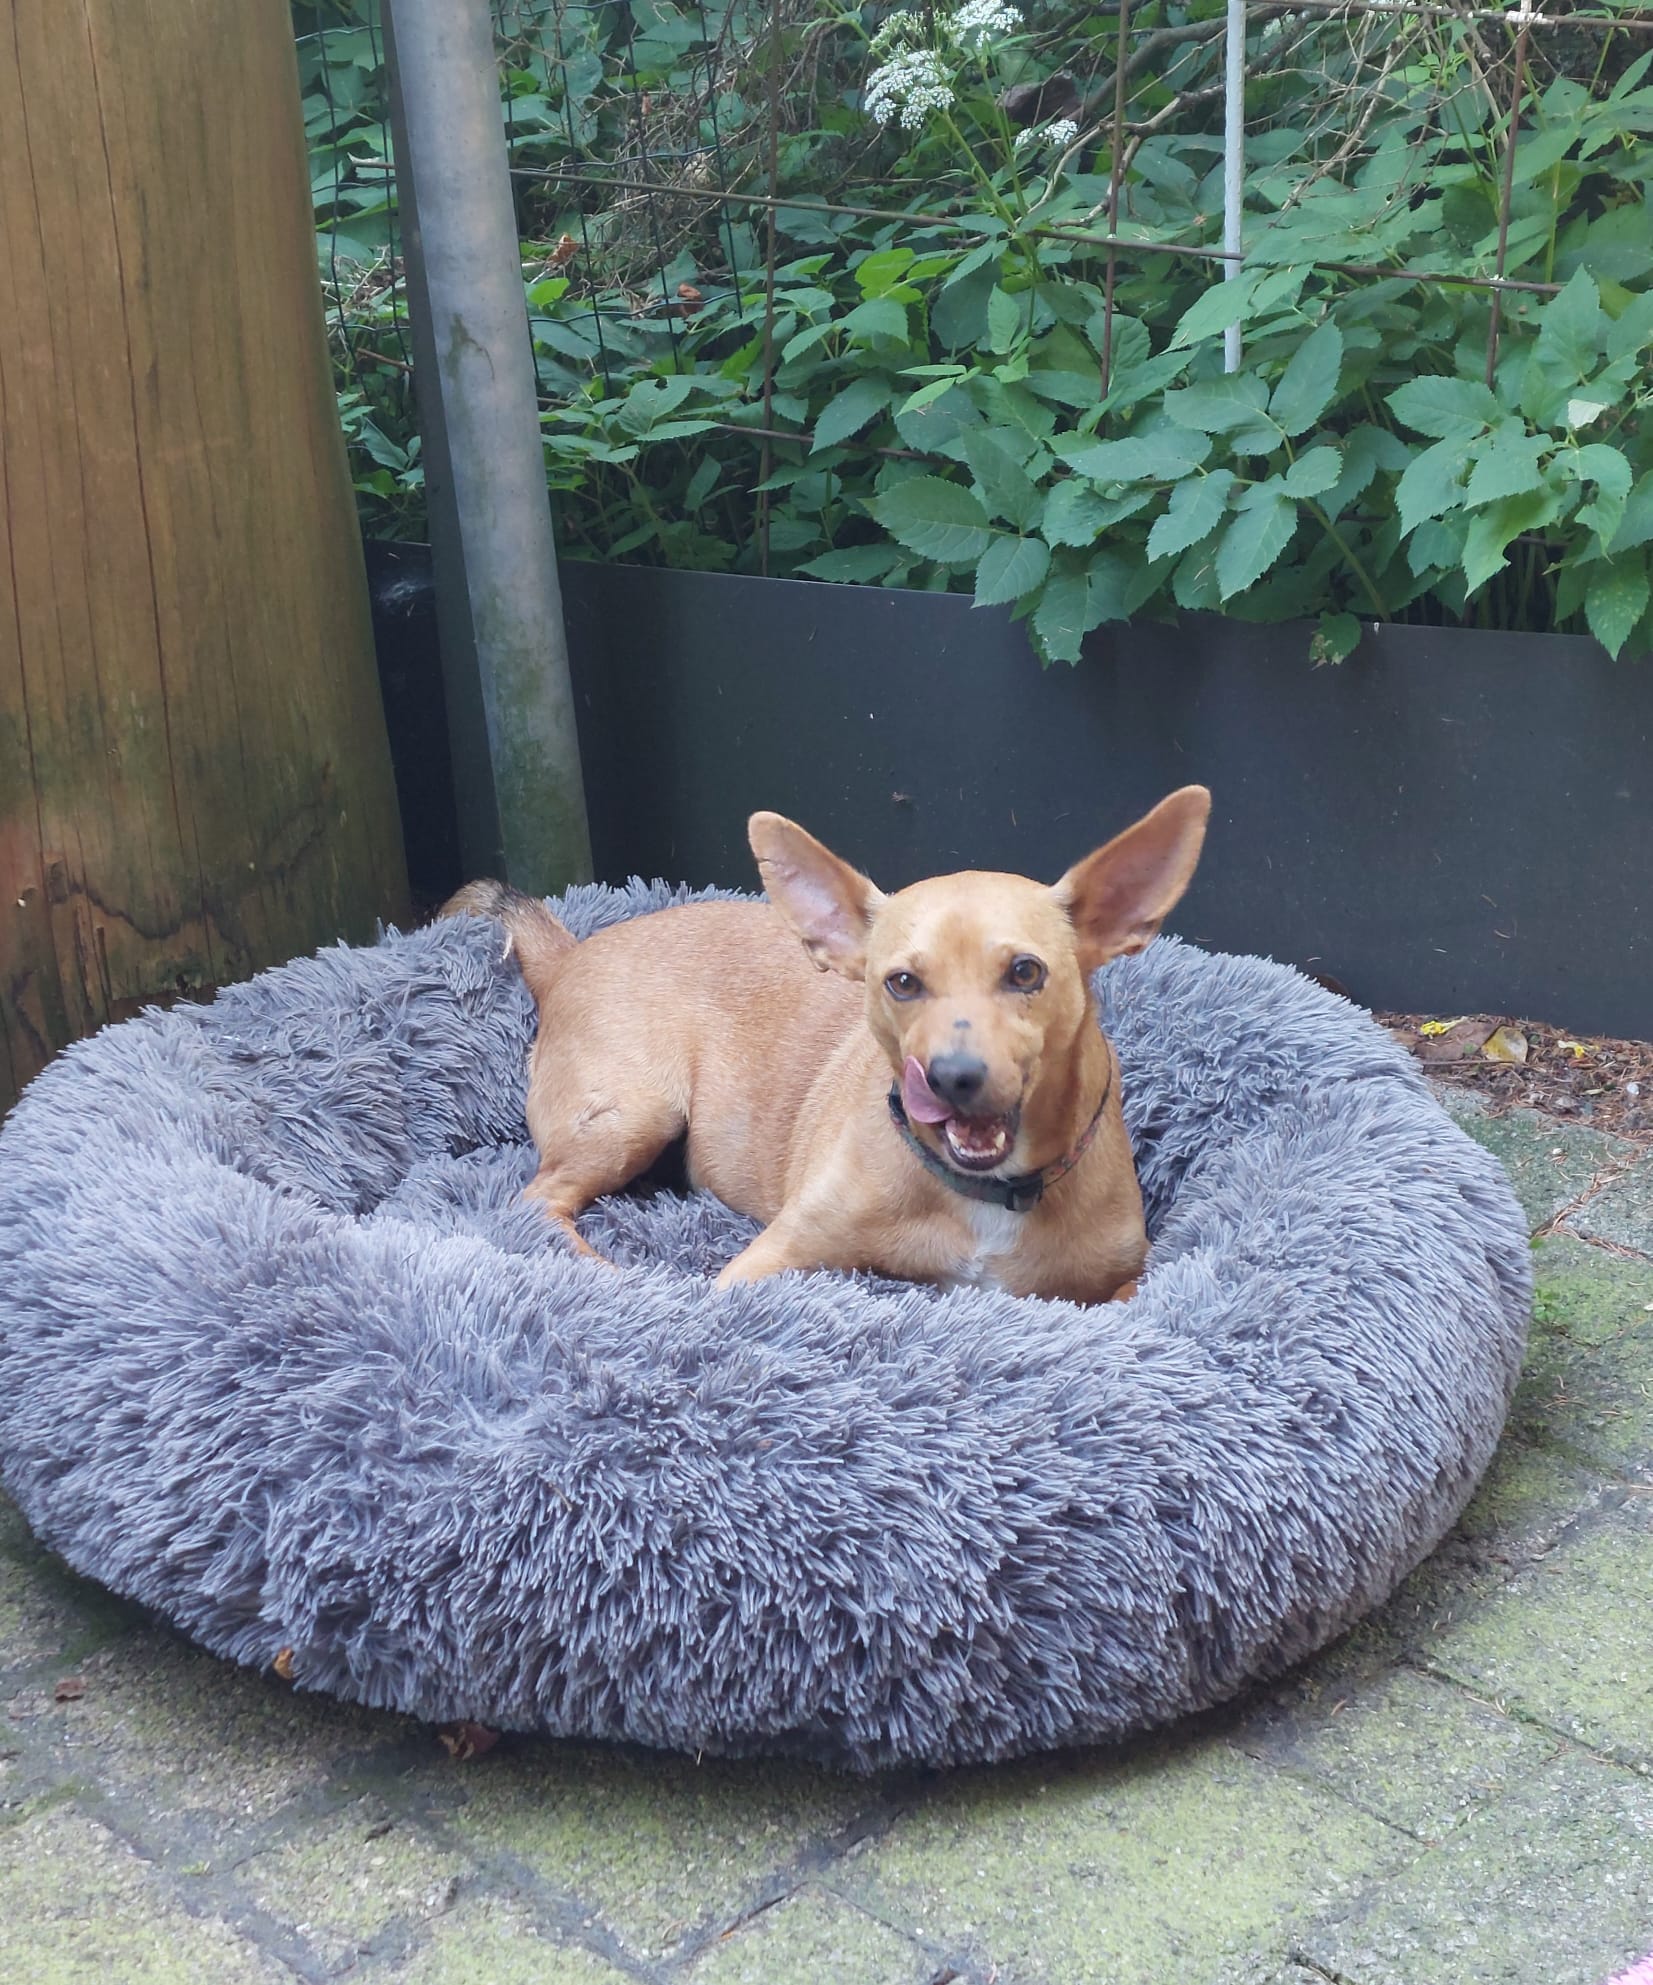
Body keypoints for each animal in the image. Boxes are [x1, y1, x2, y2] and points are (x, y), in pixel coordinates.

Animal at [444, 785, 1209, 1305]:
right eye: (901, 981)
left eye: (1026, 972)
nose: (951, 1077)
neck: (984, 1197)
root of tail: (568, 955)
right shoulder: (769, 1258)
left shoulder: (1125, 1283)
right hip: (632, 1114)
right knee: (536, 1202)